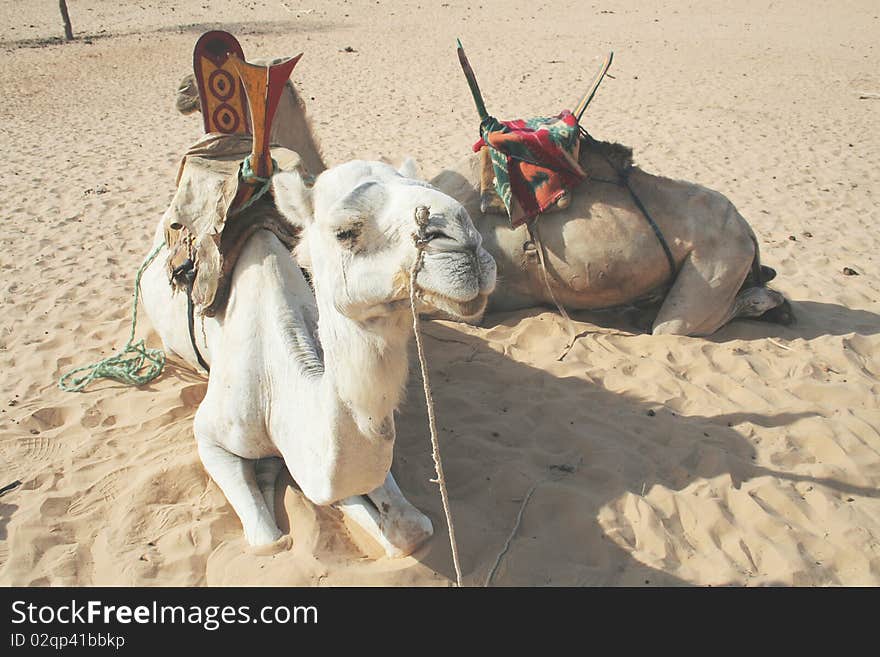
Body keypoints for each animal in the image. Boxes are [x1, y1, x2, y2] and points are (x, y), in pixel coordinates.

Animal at [139, 159, 496, 552]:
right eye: (345, 231)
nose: (465, 239)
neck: (276, 387)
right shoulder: (210, 435)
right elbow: (268, 540)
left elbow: (407, 525)